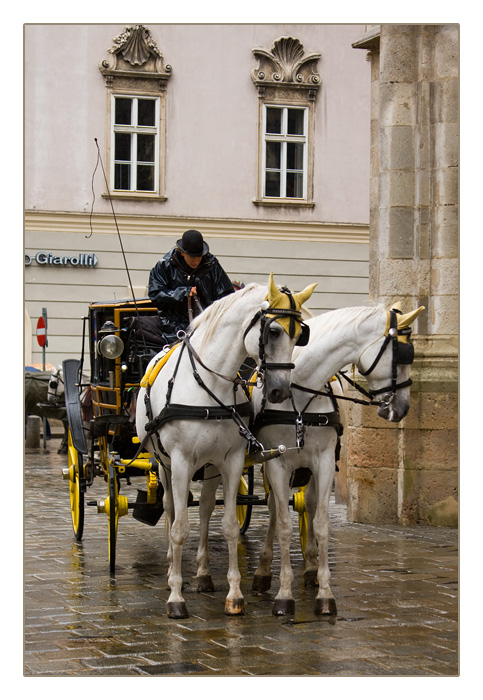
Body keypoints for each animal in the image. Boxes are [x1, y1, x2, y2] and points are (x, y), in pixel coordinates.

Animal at [136, 274, 318, 616]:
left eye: (300, 335)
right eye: (274, 331)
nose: (279, 391)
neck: (209, 386)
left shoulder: (231, 461)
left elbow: (230, 525)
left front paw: (234, 595)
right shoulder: (181, 462)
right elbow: (180, 527)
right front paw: (176, 596)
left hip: (209, 468)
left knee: (206, 508)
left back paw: (203, 574)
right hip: (164, 463)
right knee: (170, 508)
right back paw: (171, 567)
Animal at [250, 300, 424, 612]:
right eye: (402, 357)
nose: (403, 408)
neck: (298, 394)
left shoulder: (325, 462)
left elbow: (321, 524)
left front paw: (325, 593)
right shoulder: (277, 464)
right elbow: (282, 524)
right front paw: (284, 594)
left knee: (307, 503)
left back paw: (309, 566)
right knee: (272, 510)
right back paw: (263, 571)